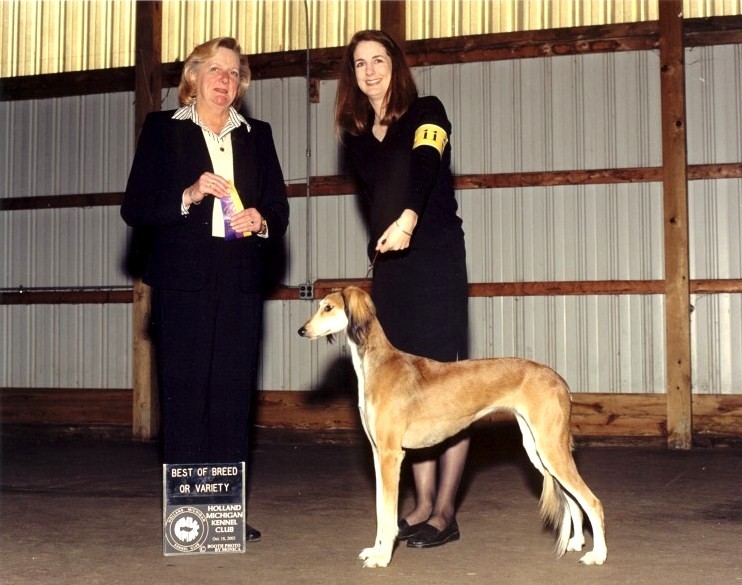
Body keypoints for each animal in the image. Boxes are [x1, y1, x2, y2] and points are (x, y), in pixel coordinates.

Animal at [300, 286, 608, 568]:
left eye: (328, 308)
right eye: (320, 306)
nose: (302, 331)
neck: (378, 365)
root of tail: (560, 380)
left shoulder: (391, 455)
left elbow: (387, 513)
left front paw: (383, 557)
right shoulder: (378, 455)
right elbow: (379, 510)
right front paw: (375, 550)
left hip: (550, 448)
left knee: (592, 501)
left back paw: (598, 554)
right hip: (537, 450)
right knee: (572, 500)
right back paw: (576, 541)